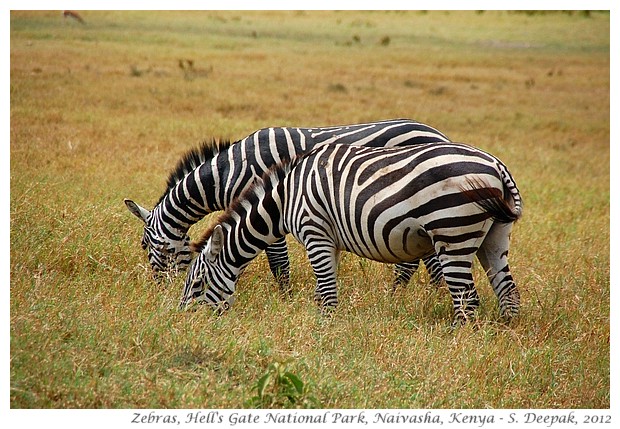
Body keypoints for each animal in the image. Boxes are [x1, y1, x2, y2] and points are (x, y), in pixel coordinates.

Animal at [123, 118, 448, 290]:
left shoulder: (268, 209)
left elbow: (278, 263)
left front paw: (285, 297)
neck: (228, 174)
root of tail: (438, 133)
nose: (160, 291)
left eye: (144, 245)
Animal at [180, 142, 524, 322]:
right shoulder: (330, 241)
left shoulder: (315, 232)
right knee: (508, 291)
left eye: (197, 284)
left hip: (452, 231)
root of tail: (497, 165)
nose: (182, 320)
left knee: (467, 299)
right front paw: (322, 324)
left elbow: (328, 293)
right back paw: (503, 334)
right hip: (493, 236)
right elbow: (323, 290)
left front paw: (325, 332)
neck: (285, 198)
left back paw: (456, 341)